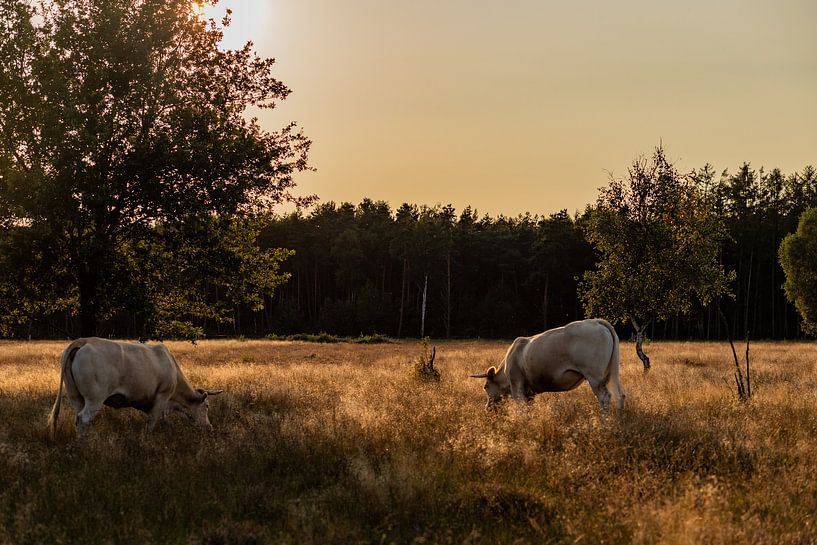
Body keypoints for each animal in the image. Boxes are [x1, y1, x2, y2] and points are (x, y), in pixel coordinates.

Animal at [47, 336, 223, 438]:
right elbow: (152, 421)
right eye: (207, 406)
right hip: (94, 399)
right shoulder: (162, 396)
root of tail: (84, 341)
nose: (210, 428)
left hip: (75, 396)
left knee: (78, 419)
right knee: (83, 418)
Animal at [468, 318, 620, 412]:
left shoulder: (517, 386)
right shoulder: (529, 393)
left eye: (485, 387)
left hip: (594, 376)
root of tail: (596, 321)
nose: (487, 408)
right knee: (620, 395)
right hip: (611, 372)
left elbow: (521, 409)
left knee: (604, 398)